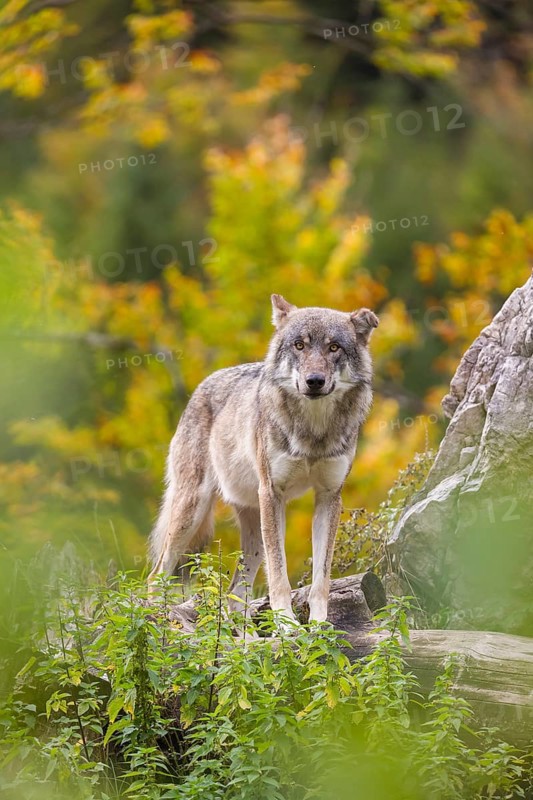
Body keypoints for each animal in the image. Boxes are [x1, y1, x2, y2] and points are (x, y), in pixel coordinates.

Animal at [148, 294, 378, 623]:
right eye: (299, 345)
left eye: (334, 347)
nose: (314, 381)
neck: (313, 431)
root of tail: (202, 386)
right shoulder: (273, 493)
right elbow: (279, 574)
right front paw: (288, 625)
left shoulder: (329, 496)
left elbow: (321, 579)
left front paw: (320, 626)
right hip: (192, 512)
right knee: (156, 575)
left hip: (254, 531)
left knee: (234, 597)